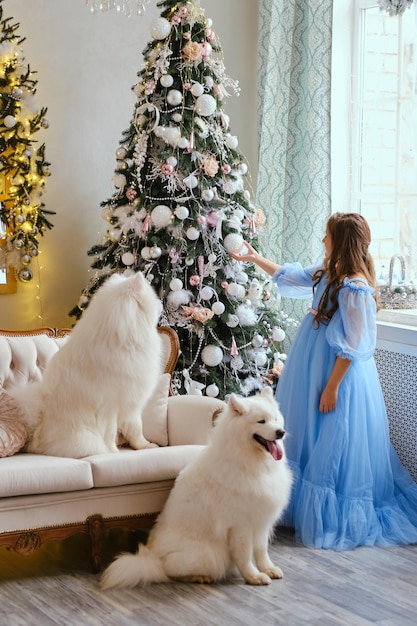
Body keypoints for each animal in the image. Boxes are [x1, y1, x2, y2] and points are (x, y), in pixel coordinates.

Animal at [16, 270, 162, 456]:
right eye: (153, 297)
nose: (161, 303)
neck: (121, 339)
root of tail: (37, 436)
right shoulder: (109, 405)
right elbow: (110, 431)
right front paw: (113, 452)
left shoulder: (131, 398)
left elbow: (136, 428)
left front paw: (145, 446)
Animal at [101, 388, 290, 588]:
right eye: (261, 421)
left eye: (276, 419)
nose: (281, 432)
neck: (250, 463)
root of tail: (154, 559)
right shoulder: (241, 525)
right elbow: (245, 555)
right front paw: (254, 577)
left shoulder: (261, 521)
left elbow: (262, 551)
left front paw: (268, 569)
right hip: (207, 555)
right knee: (170, 571)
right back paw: (198, 577)